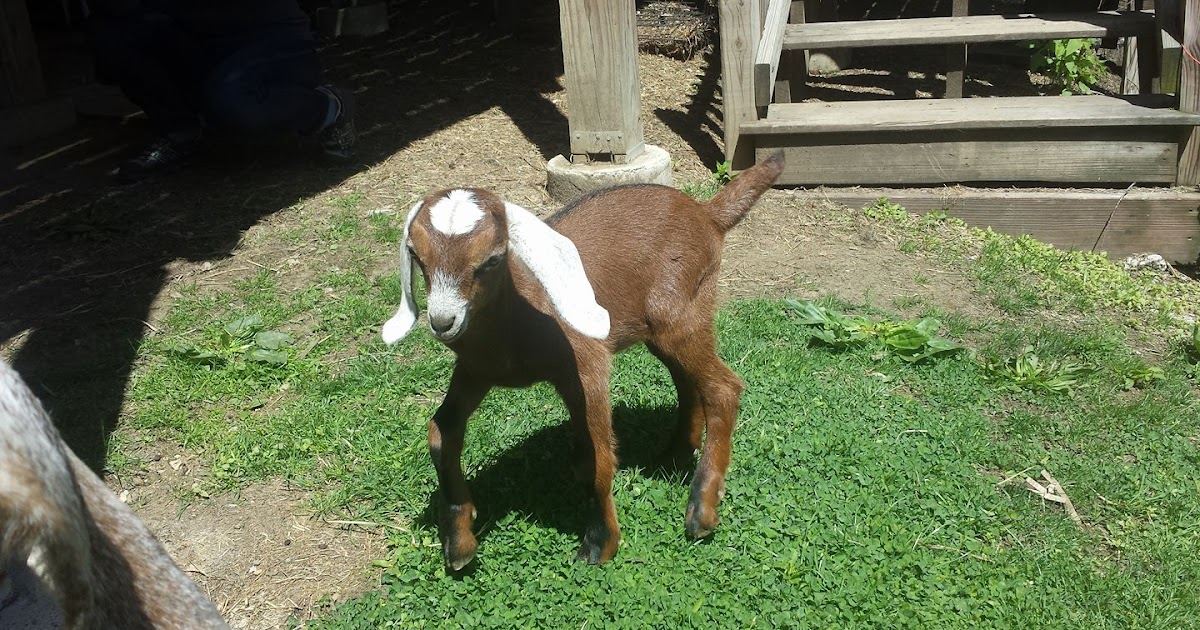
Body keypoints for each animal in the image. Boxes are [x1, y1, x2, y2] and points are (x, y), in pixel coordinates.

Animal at [382, 153, 785, 569]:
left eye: (492, 259)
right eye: (417, 257)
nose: (443, 321)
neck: (520, 314)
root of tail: (707, 213)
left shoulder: (586, 364)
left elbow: (598, 458)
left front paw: (600, 542)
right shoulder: (476, 370)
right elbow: (441, 432)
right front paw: (459, 541)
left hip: (682, 311)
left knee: (723, 387)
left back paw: (702, 507)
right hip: (662, 329)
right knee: (688, 381)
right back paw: (673, 456)